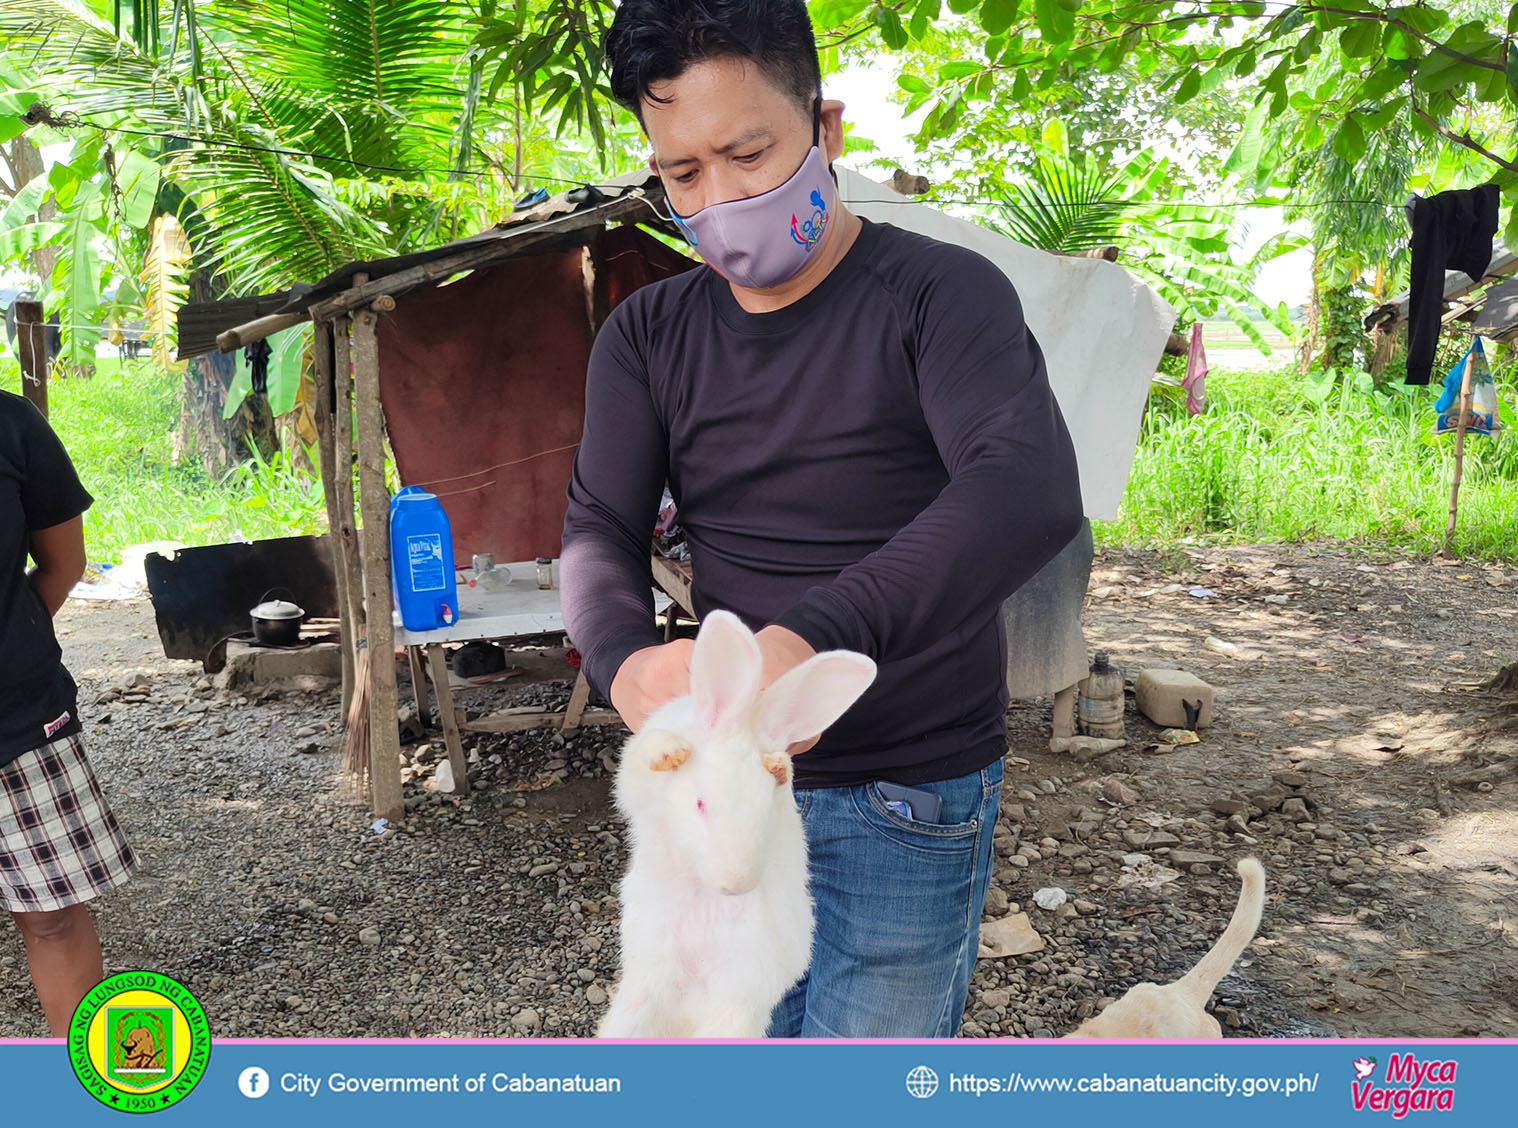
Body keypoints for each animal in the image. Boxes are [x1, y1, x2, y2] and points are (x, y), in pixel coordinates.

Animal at [595, 613, 880, 1038]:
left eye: (765, 812)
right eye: (700, 804)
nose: (736, 885)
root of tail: (689, 1010)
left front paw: (779, 766)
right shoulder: (637, 785)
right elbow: (645, 758)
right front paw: (671, 752)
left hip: (736, 1007)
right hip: (641, 1001)